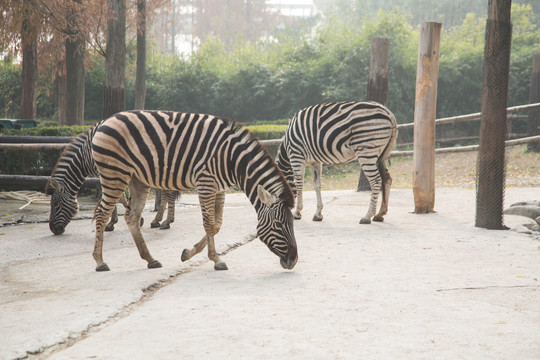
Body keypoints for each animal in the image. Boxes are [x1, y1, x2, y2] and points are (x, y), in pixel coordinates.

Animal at [46, 123, 177, 236]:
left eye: (56, 203)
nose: (53, 229)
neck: (86, 157)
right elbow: (117, 197)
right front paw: (113, 222)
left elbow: (115, 197)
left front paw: (132, 220)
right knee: (166, 192)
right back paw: (158, 220)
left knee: (168, 192)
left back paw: (166, 222)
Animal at [90, 111, 298, 272]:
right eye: (279, 224)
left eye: (291, 222)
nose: (293, 260)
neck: (233, 160)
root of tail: (106, 120)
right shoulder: (206, 183)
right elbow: (208, 224)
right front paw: (217, 260)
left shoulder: (220, 188)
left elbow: (217, 225)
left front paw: (188, 254)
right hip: (115, 173)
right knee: (101, 213)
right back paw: (100, 262)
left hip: (137, 179)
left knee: (131, 217)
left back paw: (150, 259)